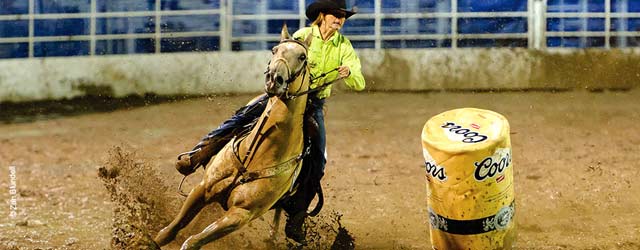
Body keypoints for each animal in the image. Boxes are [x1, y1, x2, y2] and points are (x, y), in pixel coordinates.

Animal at [152, 26, 312, 249]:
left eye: (302, 56)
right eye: (274, 50)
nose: (274, 78)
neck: (254, 156)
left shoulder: (240, 216)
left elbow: (193, 241)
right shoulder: (203, 188)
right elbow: (169, 231)